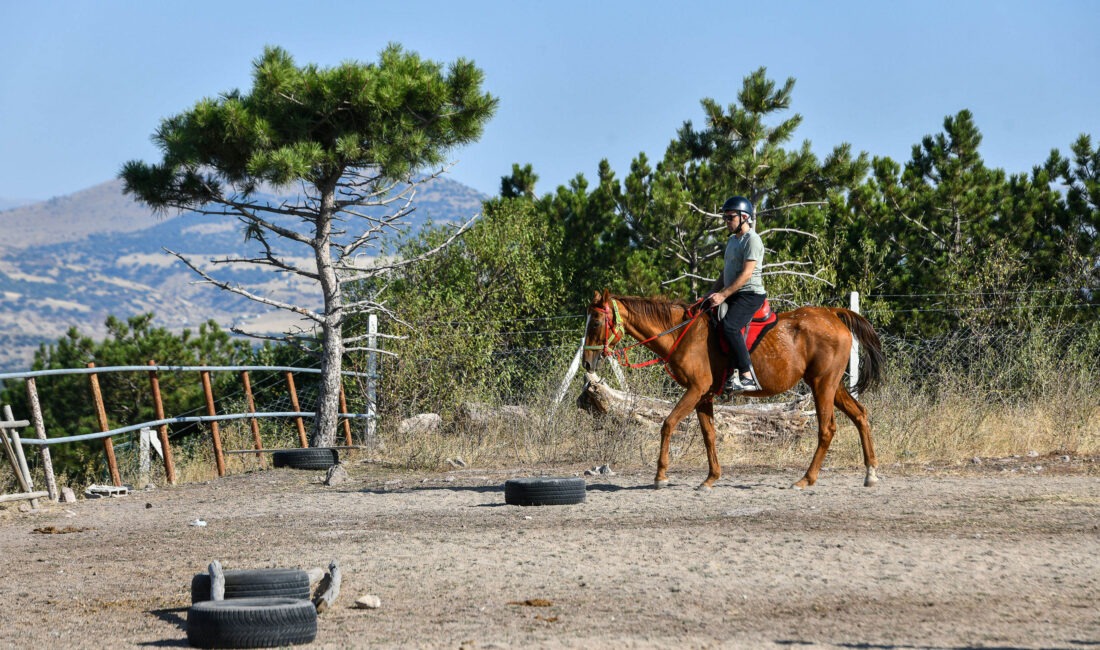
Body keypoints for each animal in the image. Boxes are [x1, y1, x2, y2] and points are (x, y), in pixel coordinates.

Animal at [585, 292, 884, 490]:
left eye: (596, 322)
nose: (588, 362)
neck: (682, 333)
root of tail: (833, 314)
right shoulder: (703, 396)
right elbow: (709, 435)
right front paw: (711, 478)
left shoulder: (695, 390)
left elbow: (668, 424)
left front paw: (661, 476)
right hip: (831, 385)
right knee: (860, 414)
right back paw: (870, 473)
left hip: (823, 384)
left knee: (827, 429)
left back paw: (806, 479)